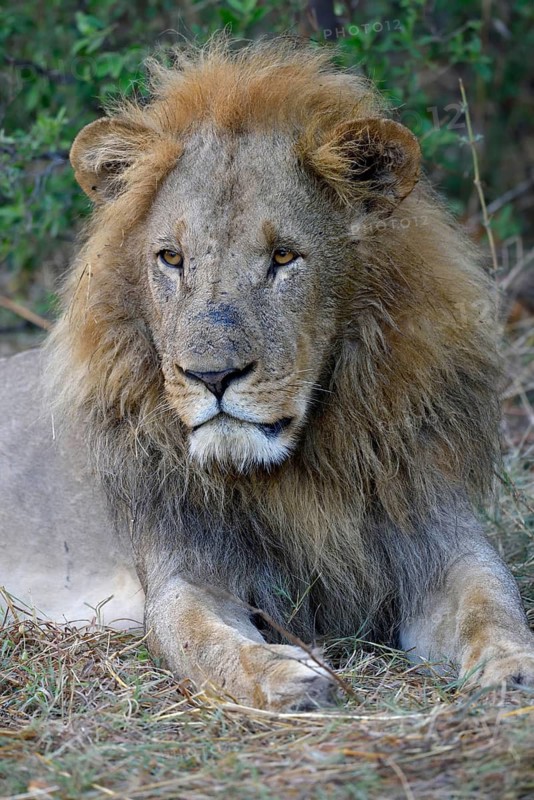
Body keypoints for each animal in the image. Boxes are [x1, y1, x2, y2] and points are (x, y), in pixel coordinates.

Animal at [1, 38, 533, 710]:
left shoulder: (440, 535)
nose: (212, 376)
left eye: (283, 256)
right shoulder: (184, 571)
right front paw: (288, 677)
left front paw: (512, 667)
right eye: (171, 257)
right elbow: (203, 638)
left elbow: (493, 604)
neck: (302, 470)